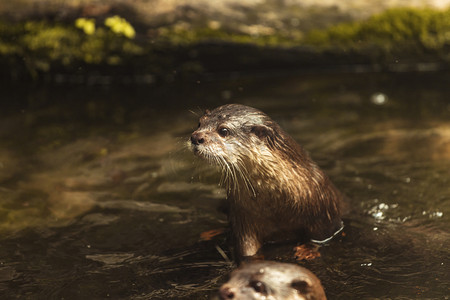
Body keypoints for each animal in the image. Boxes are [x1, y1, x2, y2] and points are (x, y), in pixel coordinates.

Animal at [191, 104, 344, 258]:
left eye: (223, 130)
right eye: (199, 123)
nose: (195, 137)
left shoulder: (323, 213)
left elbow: (320, 237)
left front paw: (307, 250)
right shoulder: (243, 219)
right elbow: (246, 247)